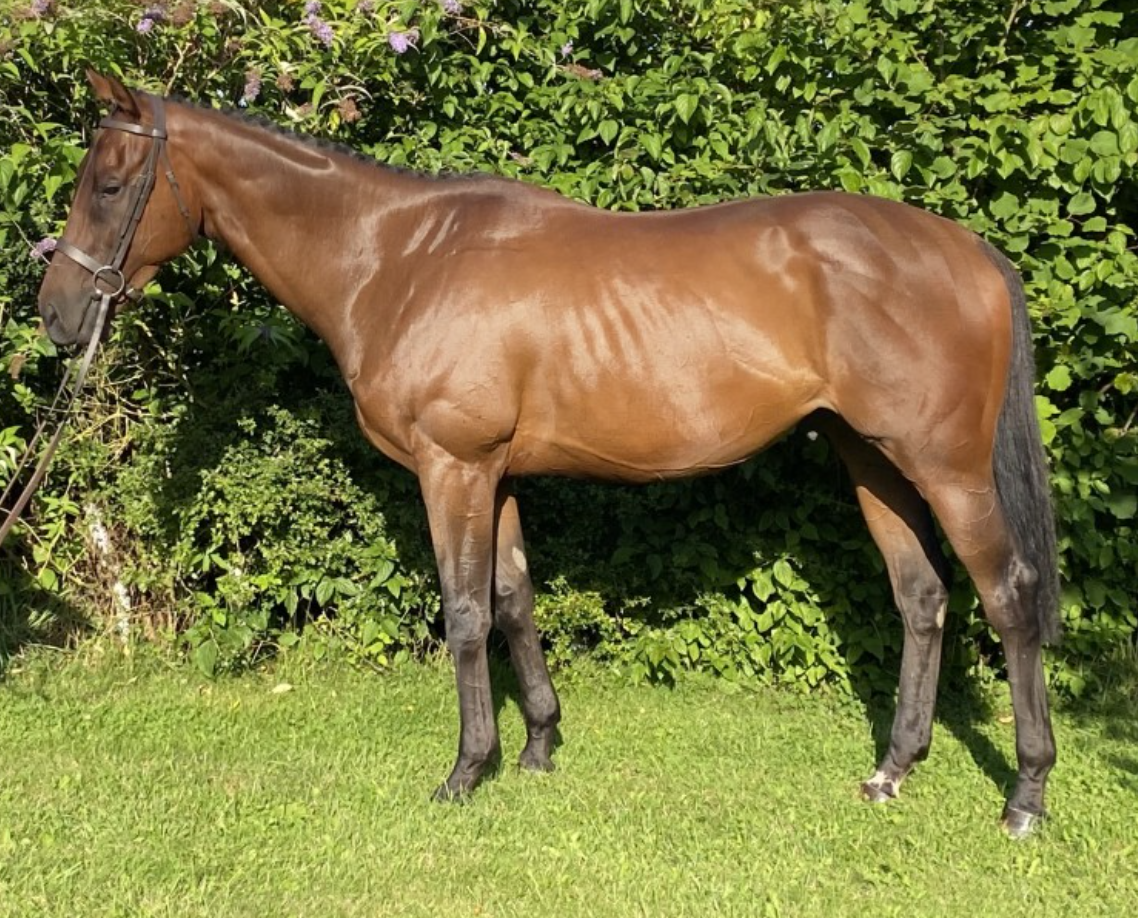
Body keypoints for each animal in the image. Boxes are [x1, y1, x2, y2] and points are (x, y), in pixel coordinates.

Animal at [38, 71, 1059, 837]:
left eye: (109, 186)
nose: (56, 316)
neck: (397, 258)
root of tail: (969, 250)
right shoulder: (497, 475)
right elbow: (513, 601)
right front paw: (535, 748)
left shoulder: (453, 467)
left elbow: (462, 615)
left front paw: (465, 771)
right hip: (873, 459)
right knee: (921, 597)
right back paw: (893, 771)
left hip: (946, 466)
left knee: (1008, 598)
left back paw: (1024, 796)